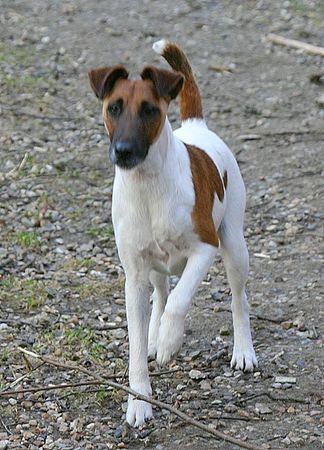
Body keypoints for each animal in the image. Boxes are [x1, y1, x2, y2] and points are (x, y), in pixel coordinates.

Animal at [88, 38, 256, 426]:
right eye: (113, 108)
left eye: (150, 110)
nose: (123, 152)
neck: (147, 187)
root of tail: (196, 126)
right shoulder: (133, 276)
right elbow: (137, 343)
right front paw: (139, 401)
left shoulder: (205, 248)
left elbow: (181, 301)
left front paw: (169, 341)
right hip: (153, 267)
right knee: (161, 293)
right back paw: (154, 335)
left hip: (234, 247)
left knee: (237, 299)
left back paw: (242, 350)